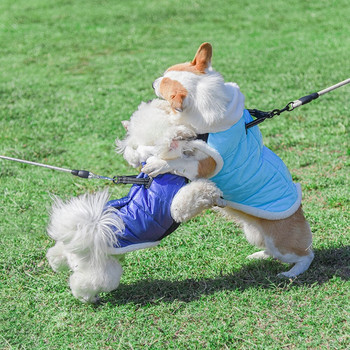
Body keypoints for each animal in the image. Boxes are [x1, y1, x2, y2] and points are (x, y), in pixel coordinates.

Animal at [142, 43, 314, 278]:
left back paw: (291, 273)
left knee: (306, 255)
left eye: (163, 87)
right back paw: (258, 256)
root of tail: (300, 214)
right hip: (253, 233)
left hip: (282, 243)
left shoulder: (205, 164)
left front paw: (157, 163)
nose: (152, 82)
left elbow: (180, 163)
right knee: (270, 250)